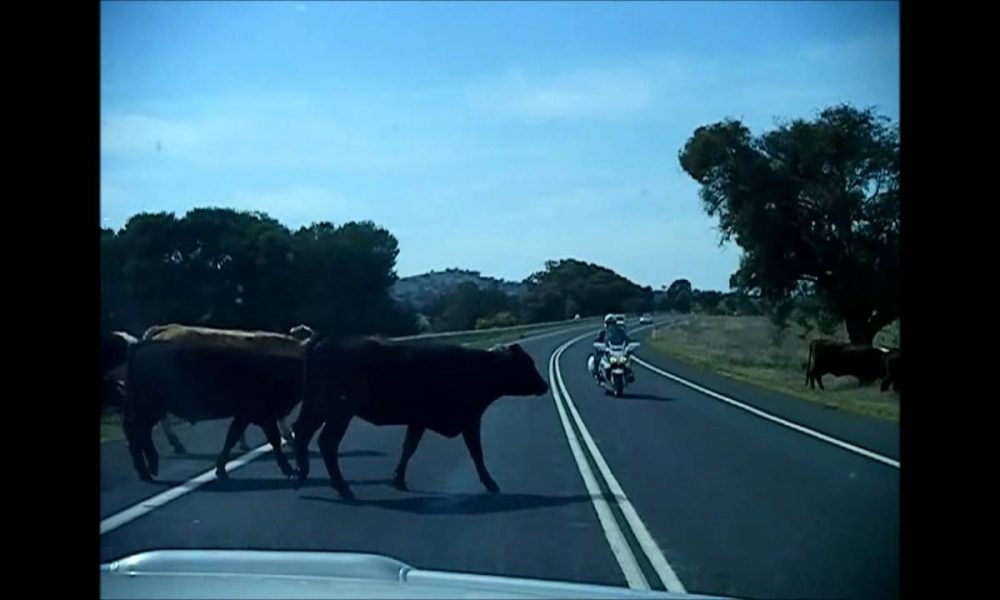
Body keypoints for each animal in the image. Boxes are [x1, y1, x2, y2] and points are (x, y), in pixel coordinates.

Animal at [122, 340, 300, 480]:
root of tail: (141, 346)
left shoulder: (243, 416)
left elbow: (231, 438)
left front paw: (221, 470)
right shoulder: (264, 415)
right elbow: (274, 440)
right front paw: (289, 470)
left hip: (146, 409)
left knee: (140, 433)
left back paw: (151, 468)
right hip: (149, 408)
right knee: (137, 433)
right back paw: (146, 471)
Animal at [292, 336, 552, 500]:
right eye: (526, 365)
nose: (545, 385)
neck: (477, 368)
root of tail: (328, 340)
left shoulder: (418, 421)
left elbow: (408, 448)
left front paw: (398, 480)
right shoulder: (469, 420)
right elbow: (476, 452)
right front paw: (491, 484)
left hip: (316, 407)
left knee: (302, 432)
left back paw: (300, 474)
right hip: (339, 411)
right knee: (326, 442)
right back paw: (343, 488)